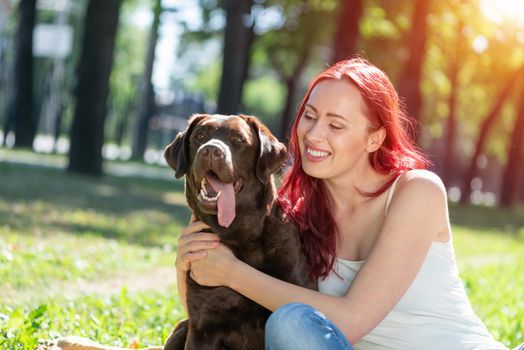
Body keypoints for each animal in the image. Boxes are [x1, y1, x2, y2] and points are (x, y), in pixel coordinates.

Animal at [162, 115, 314, 350]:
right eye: (199, 137)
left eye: (239, 139)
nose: (210, 150)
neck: (240, 236)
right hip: (182, 328)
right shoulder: (202, 326)